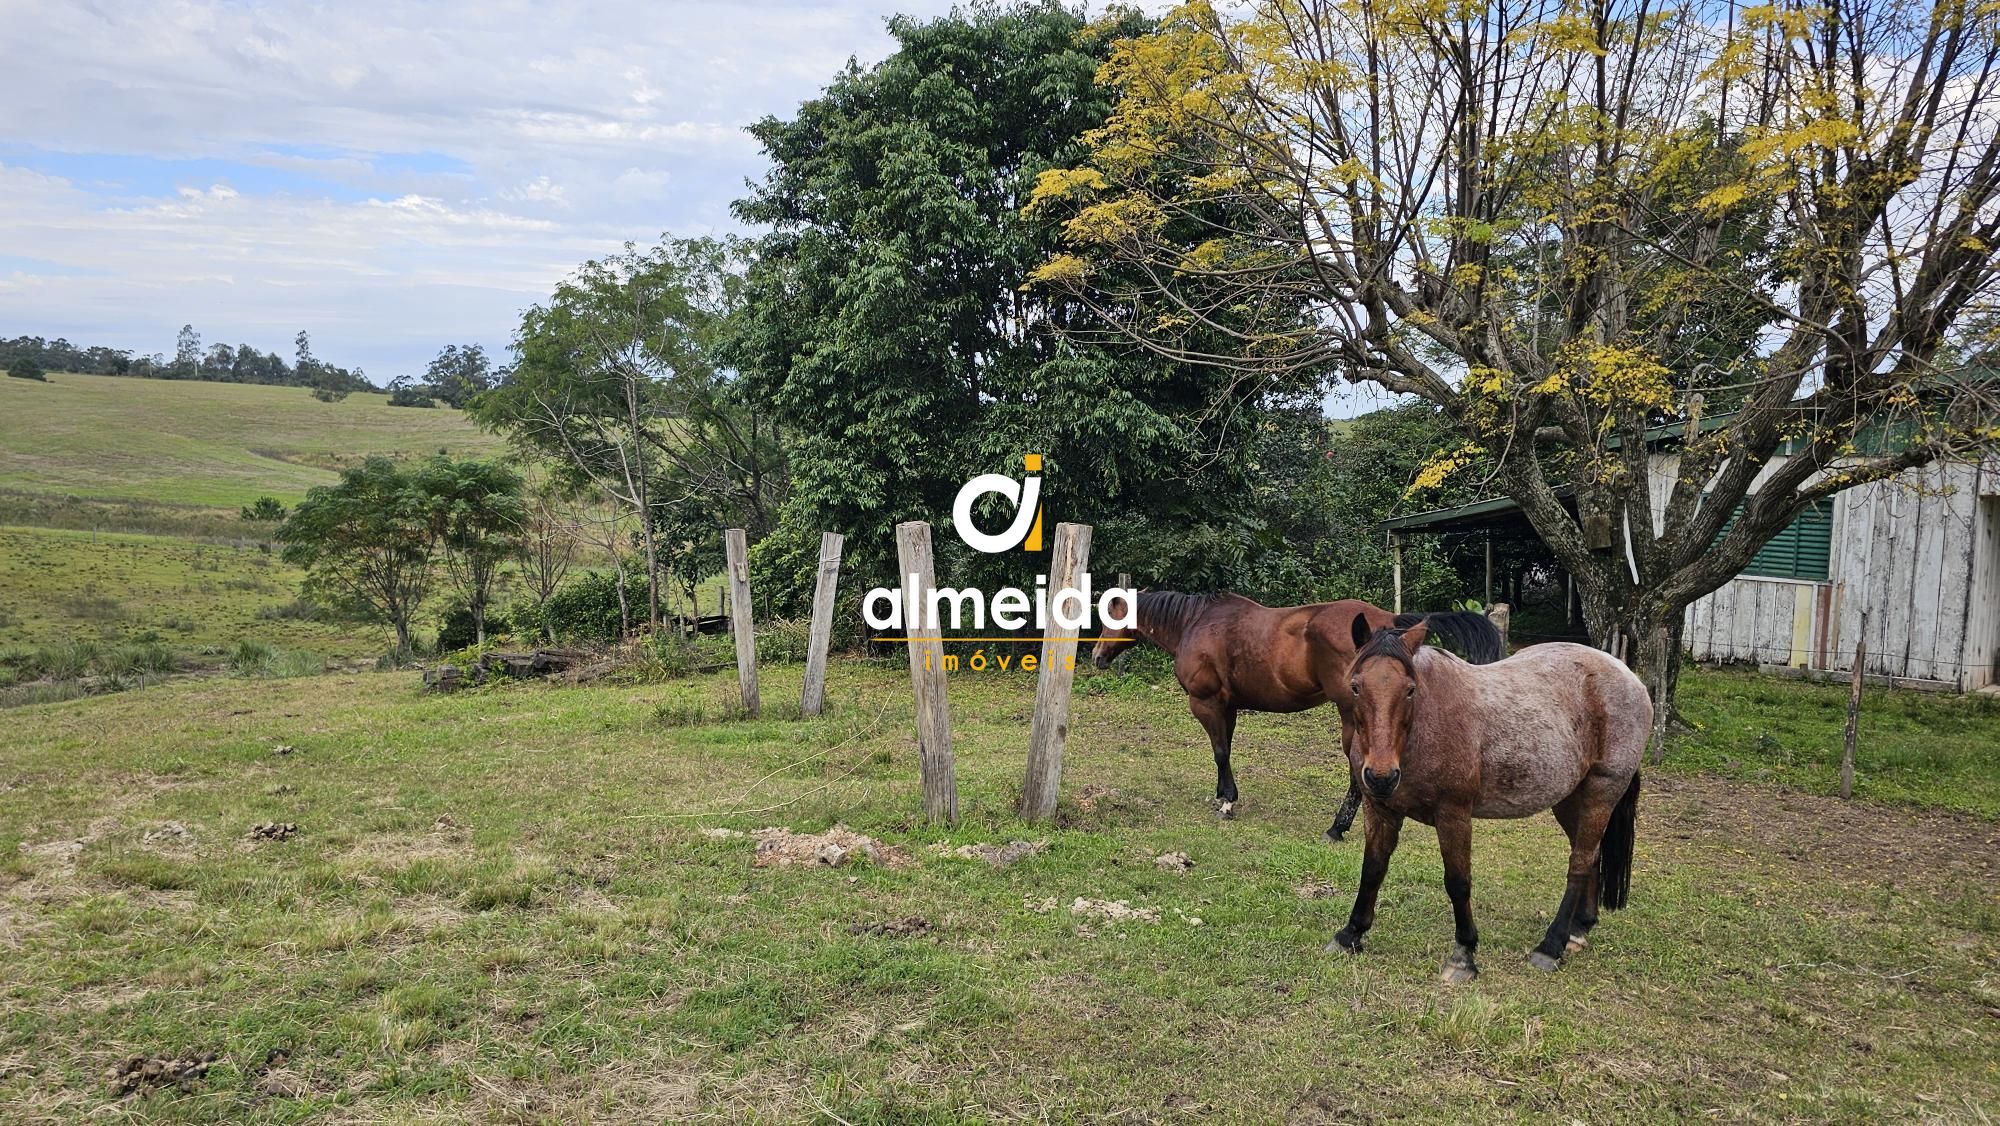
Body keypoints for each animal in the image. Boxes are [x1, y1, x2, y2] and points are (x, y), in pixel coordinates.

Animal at [1096, 592, 1504, 828]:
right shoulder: (1227, 707)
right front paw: (1224, 794)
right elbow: (1224, 751)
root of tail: (1389, 623)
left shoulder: (1206, 703)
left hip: (1353, 715)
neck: (1195, 624)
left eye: (1107, 618)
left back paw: (1339, 825)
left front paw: (1226, 802)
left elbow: (1220, 751)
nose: (1097, 656)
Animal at [1320, 612, 1648, 984]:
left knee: (1579, 863)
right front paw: (1350, 934)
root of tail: (1627, 675)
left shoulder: (1453, 815)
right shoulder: (1380, 809)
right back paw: (1578, 929)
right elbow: (1373, 870)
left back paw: (1551, 946)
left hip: (1600, 794)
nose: (1381, 776)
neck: (1421, 727)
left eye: (1410, 690)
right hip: (1569, 799)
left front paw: (1464, 954)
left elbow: (1458, 882)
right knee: (1590, 856)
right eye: (1356, 686)